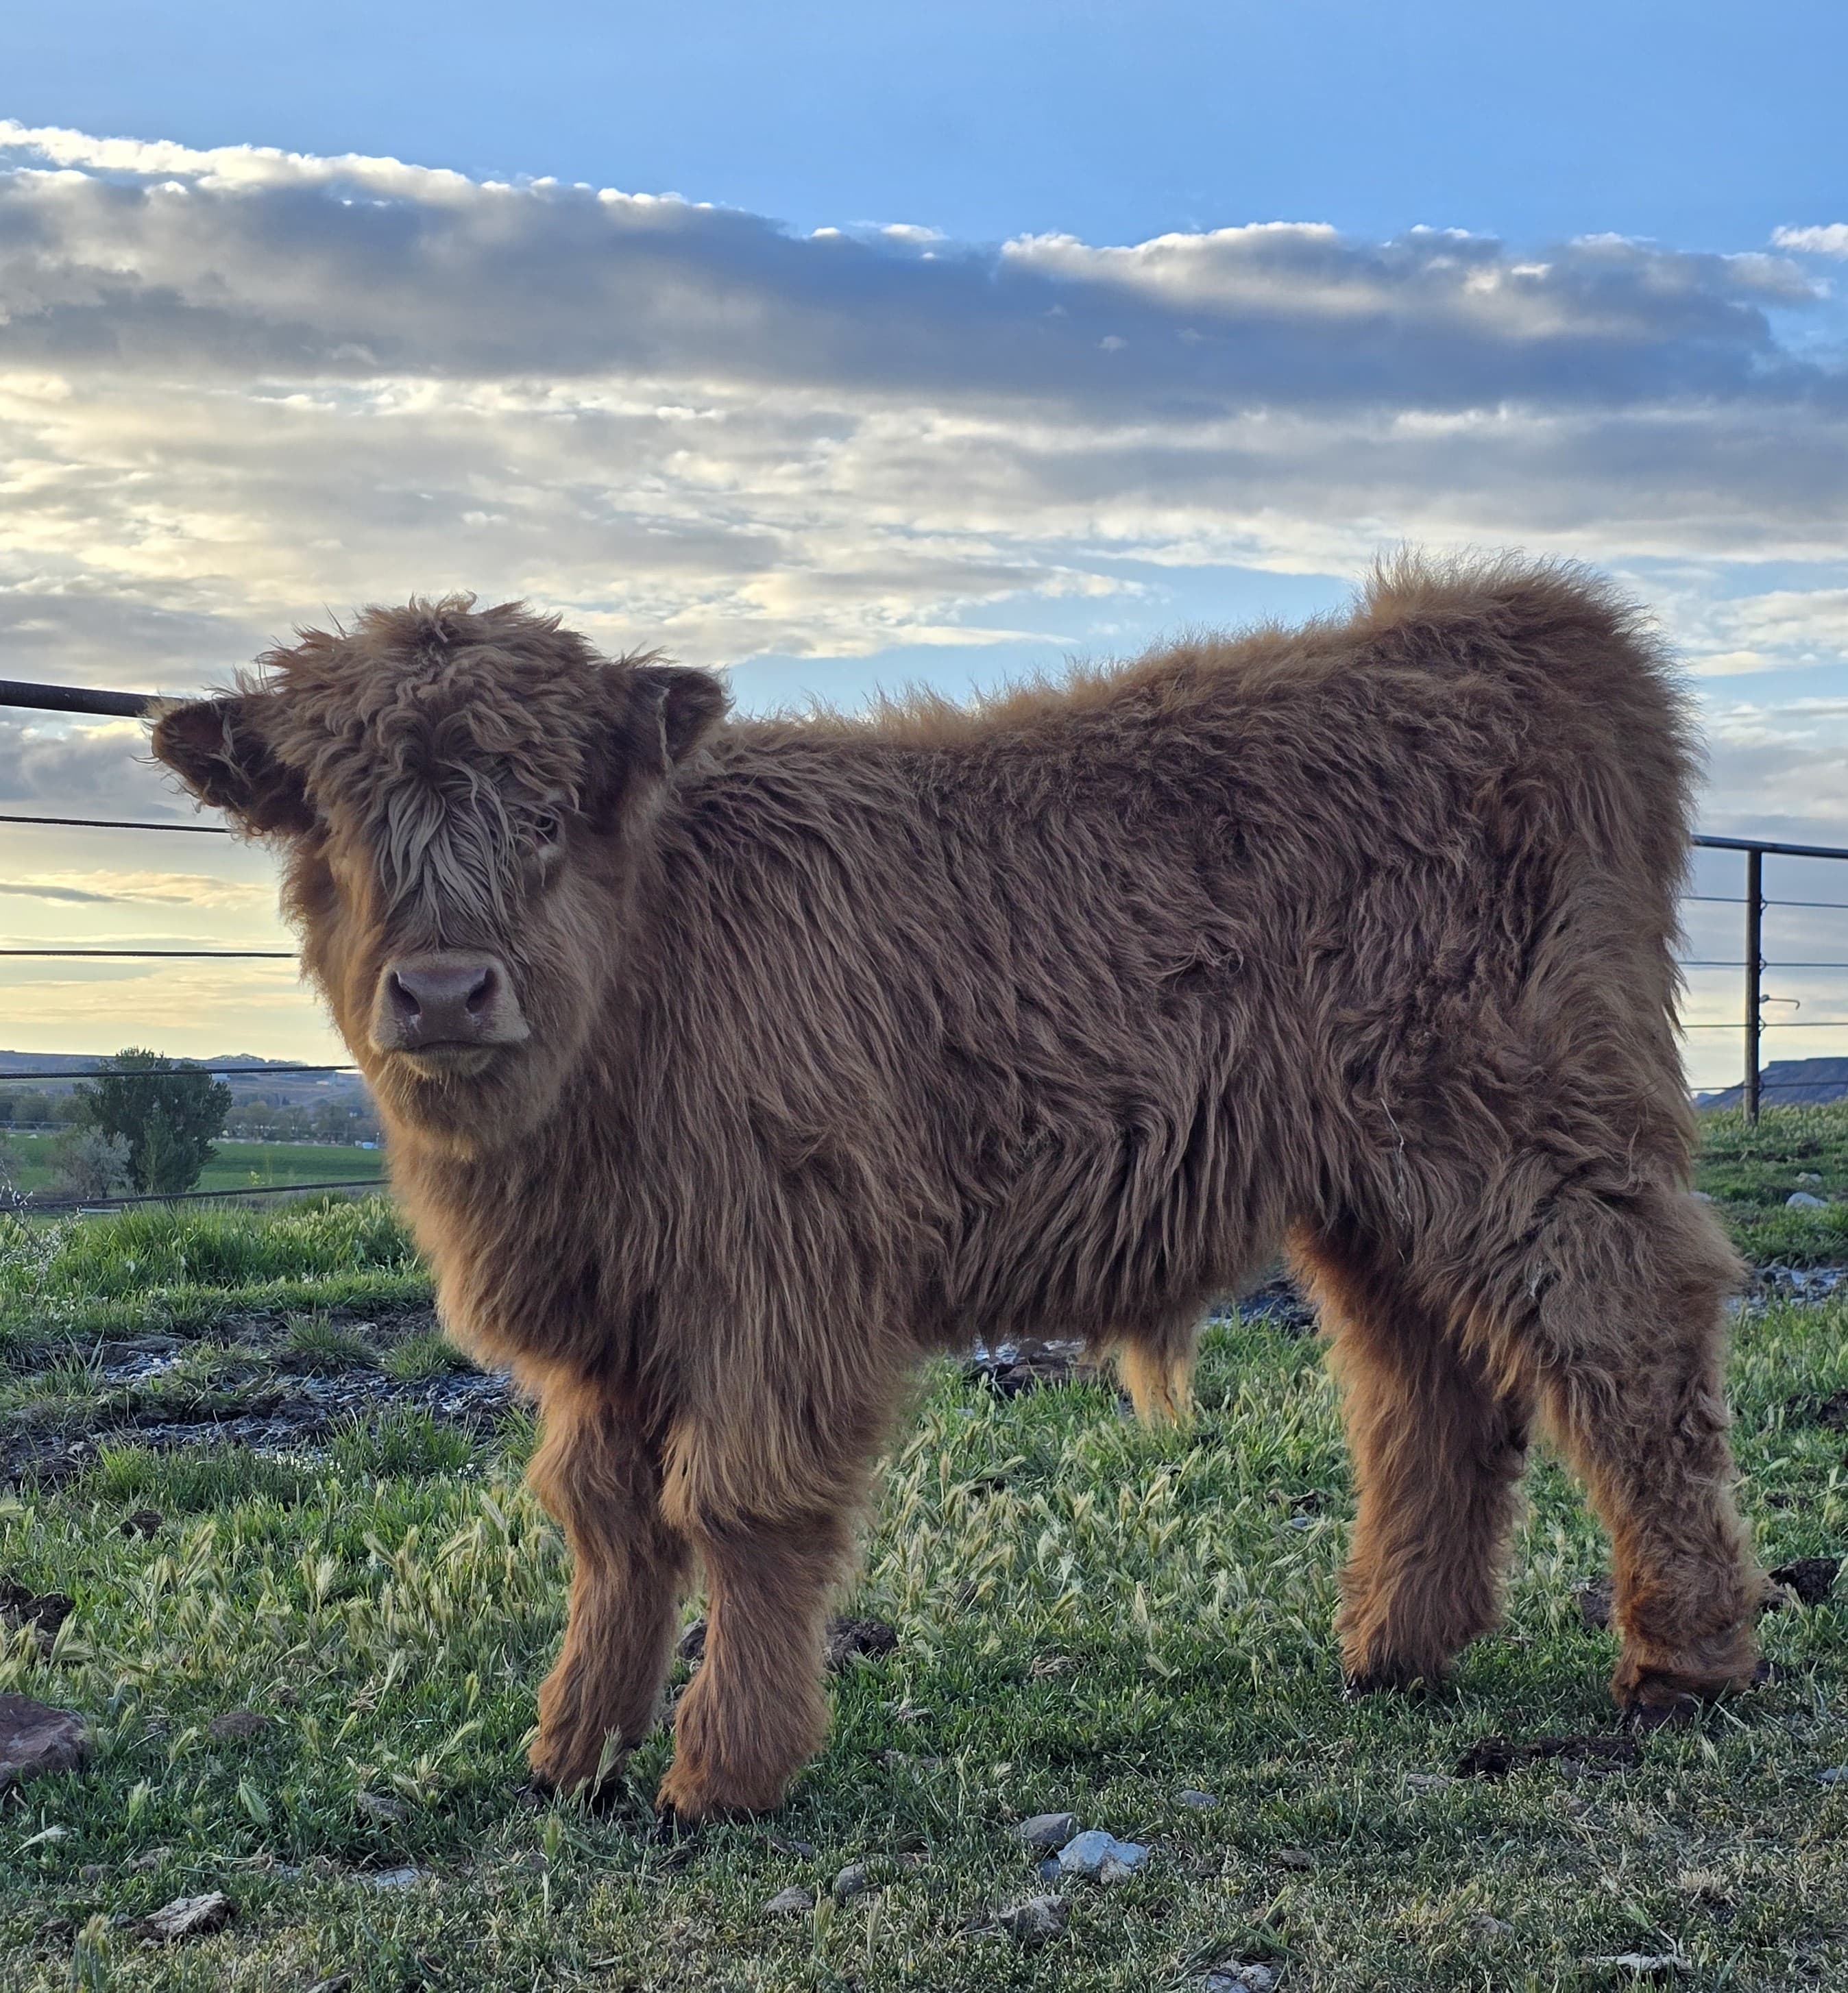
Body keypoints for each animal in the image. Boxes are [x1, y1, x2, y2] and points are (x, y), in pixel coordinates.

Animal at [150, 556, 1763, 1820]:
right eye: (330, 820)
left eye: (548, 815)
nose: (442, 990)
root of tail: (1503, 616)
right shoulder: (608, 1313)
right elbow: (607, 1519)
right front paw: (572, 1750)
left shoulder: (781, 1273)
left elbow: (737, 1505)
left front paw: (722, 1771)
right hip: (1370, 1181)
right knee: (1428, 1382)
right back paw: (1393, 1649)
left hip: (1526, 1123)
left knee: (1625, 1335)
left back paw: (1682, 1656)